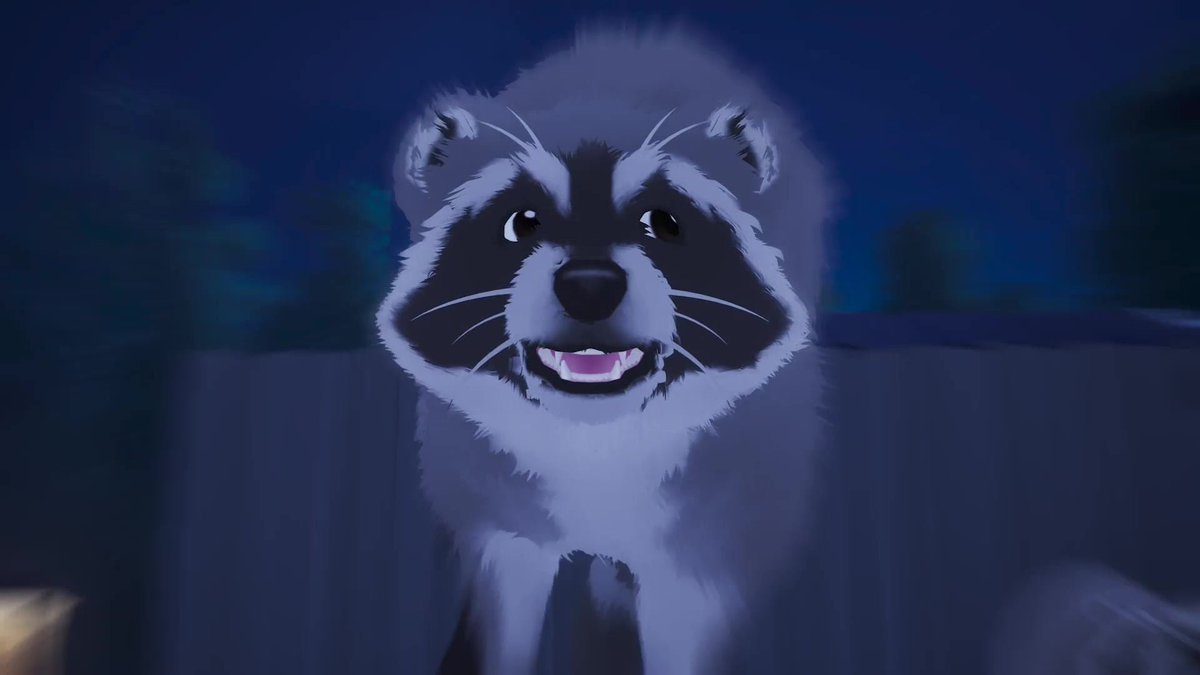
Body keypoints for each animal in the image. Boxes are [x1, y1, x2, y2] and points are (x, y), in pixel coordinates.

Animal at [377, 25, 831, 675]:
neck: (596, 439)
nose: (588, 285)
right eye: (521, 221)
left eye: (663, 221)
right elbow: (502, 614)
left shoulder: (724, 505)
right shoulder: (492, 502)